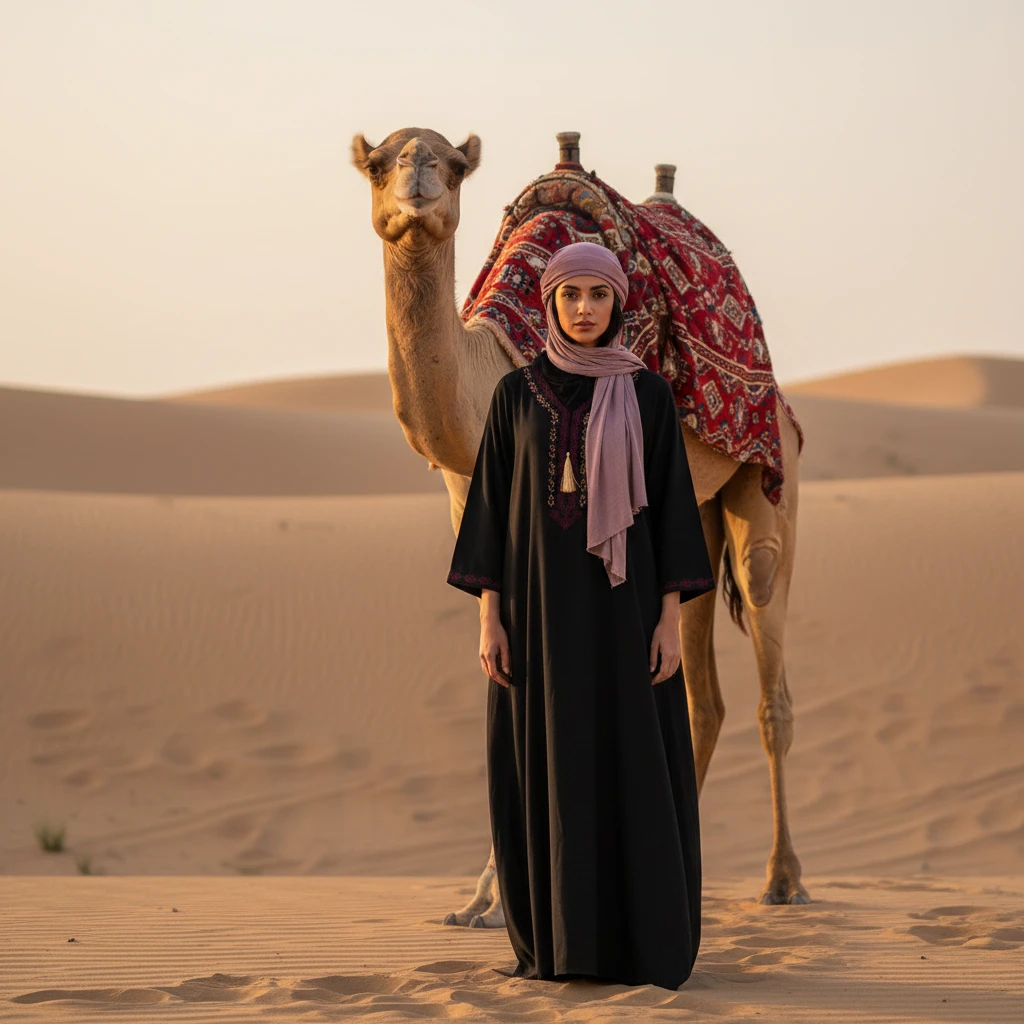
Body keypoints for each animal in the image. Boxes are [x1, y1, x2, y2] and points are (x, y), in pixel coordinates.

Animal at [352, 128, 808, 921]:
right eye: (378, 163)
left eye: (455, 165)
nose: (417, 178)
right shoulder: (472, 500)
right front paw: (483, 900)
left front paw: (500, 898)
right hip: (694, 515)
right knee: (702, 697)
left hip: (768, 480)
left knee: (766, 665)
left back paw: (783, 879)